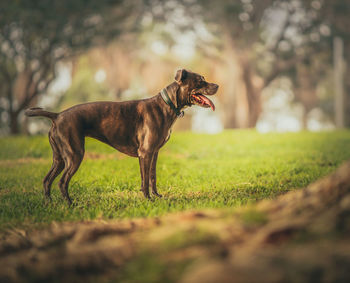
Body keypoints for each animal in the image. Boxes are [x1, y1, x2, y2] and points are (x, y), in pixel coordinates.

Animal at [26, 69, 219, 205]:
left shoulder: (154, 153)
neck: (167, 104)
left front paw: (157, 196)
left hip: (59, 158)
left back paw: (49, 203)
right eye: (200, 80)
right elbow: (145, 180)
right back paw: (70, 204)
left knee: (47, 180)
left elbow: (152, 177)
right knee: (62, 182)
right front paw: (148, 200)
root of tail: (57, 115)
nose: (217, 86)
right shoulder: (145, 153)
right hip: (74, 155)